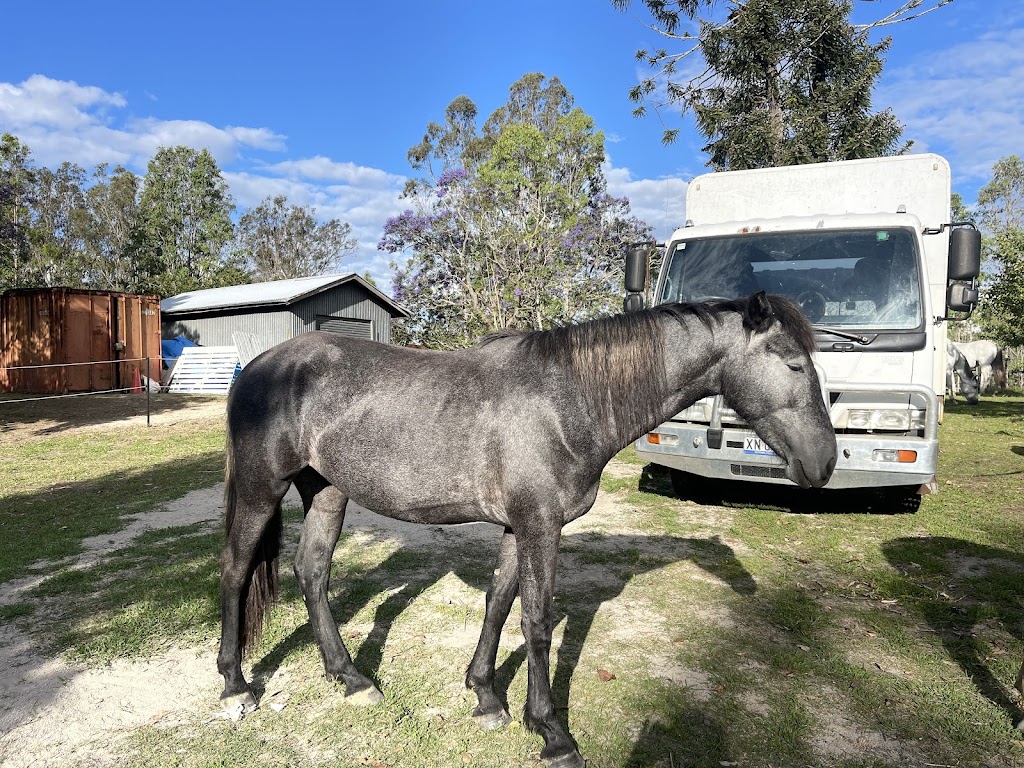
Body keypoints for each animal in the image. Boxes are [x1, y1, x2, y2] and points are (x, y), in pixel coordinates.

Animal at [220, 290, 835, 765]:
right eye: (794, 364)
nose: (824, 464)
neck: (570, 400)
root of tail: (260, 365)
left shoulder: (520, 526)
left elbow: (499, 601)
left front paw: (486, 697)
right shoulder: (541, 524)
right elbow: (536, 621)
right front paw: (553, 733)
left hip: (326, 491)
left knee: (312, 572)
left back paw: (350, 678)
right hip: (260, 488)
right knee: (236, 570)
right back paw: (235, 686)